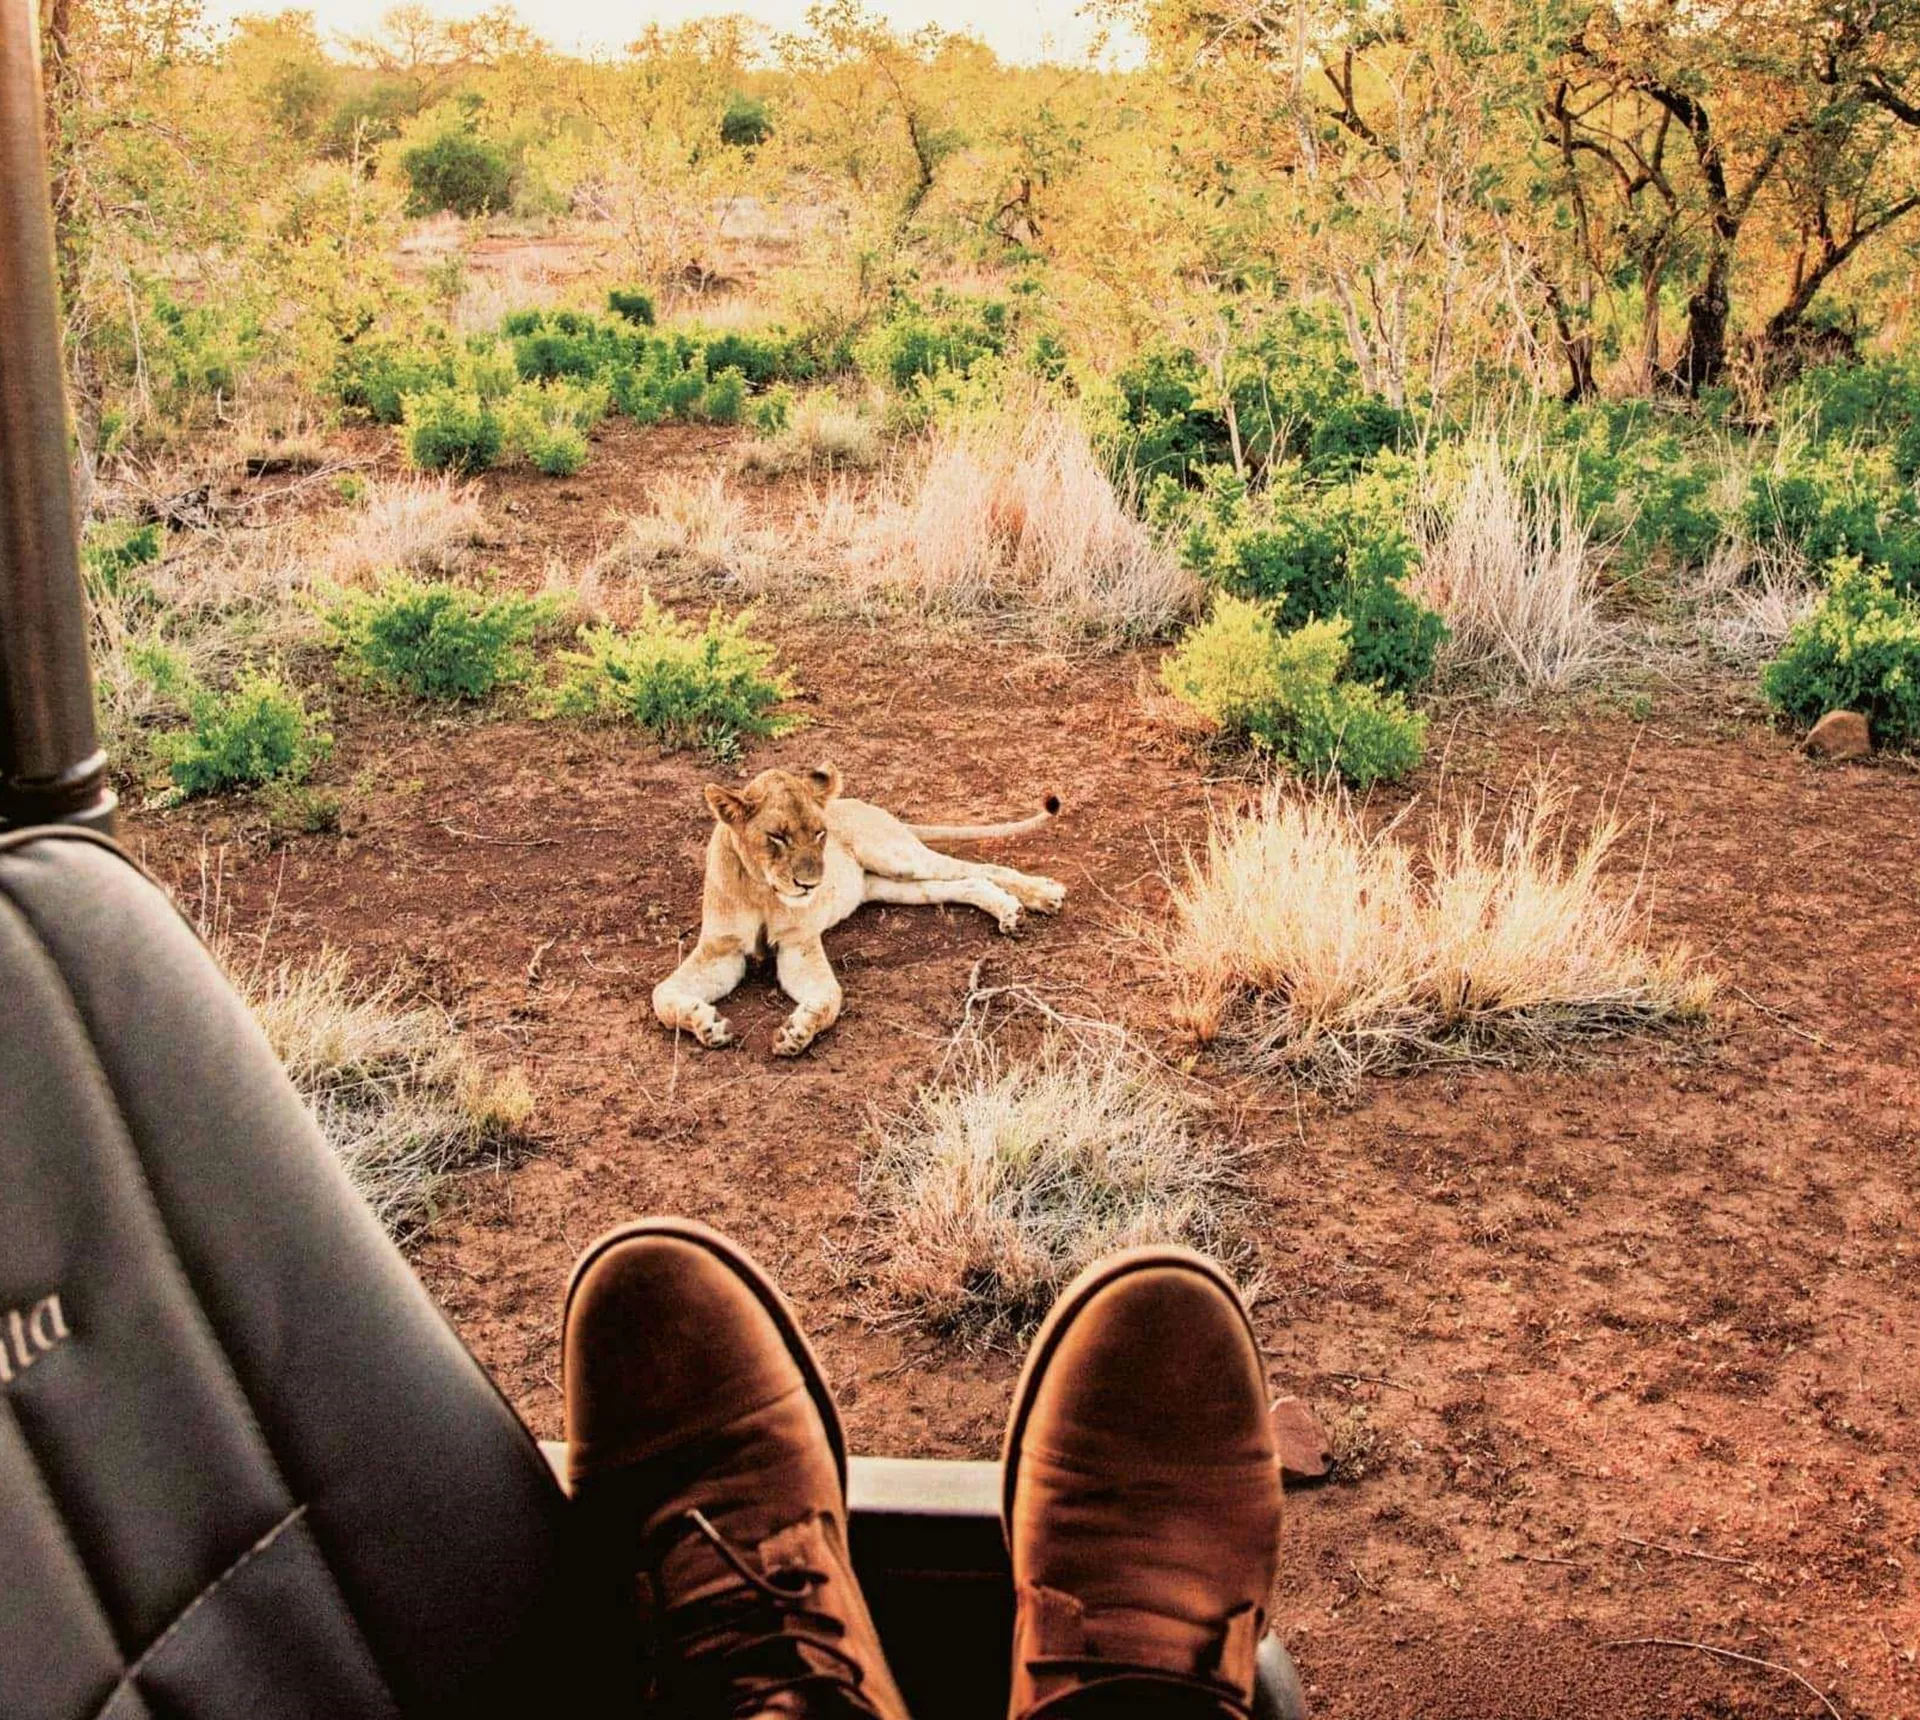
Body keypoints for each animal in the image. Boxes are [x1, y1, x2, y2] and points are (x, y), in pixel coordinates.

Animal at [653, 763, 1066, 1056]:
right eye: (777, 837)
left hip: (896, 856)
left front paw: (797, 1032)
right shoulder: (719, 950)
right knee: (964, 883)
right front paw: (707, 1025)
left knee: (980, 868)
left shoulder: (798, 946)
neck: (762, 890)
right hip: (889, 886)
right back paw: (1009, 910)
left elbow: (829, 998)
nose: (811, 884)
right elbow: (662, 996)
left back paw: (1041, 895)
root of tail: (861, 803)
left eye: (820, 833)